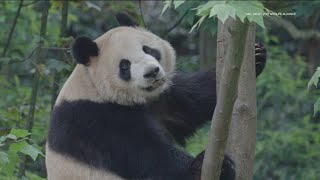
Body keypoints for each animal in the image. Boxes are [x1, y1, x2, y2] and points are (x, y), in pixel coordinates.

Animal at [44, 13, 264, 179]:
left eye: (148, 49)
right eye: (125, 65)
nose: (152, 72)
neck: (93, 87)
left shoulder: (161, 99)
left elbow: (192, 104)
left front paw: (256, 56)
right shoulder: (94, 120)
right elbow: (149, 157)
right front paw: (205, 166)